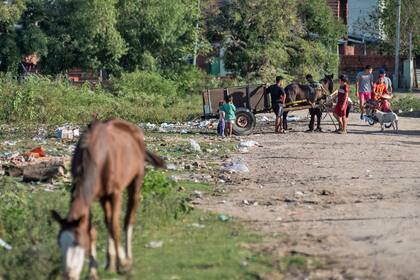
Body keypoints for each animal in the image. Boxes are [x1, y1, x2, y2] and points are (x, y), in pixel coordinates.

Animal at [51, 118, 165, 280]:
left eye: (77, 242)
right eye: (60, 243)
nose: (69, 275)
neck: (98, 156)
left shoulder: (116, 193)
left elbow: (115, 227)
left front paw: (124, 264)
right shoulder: (91, 197)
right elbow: (92, 230)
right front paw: (93, 272)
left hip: (136, 181)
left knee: (128, 218)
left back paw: (127, 259)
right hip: (103, 197)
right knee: (108, 220)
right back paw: (111, 263)